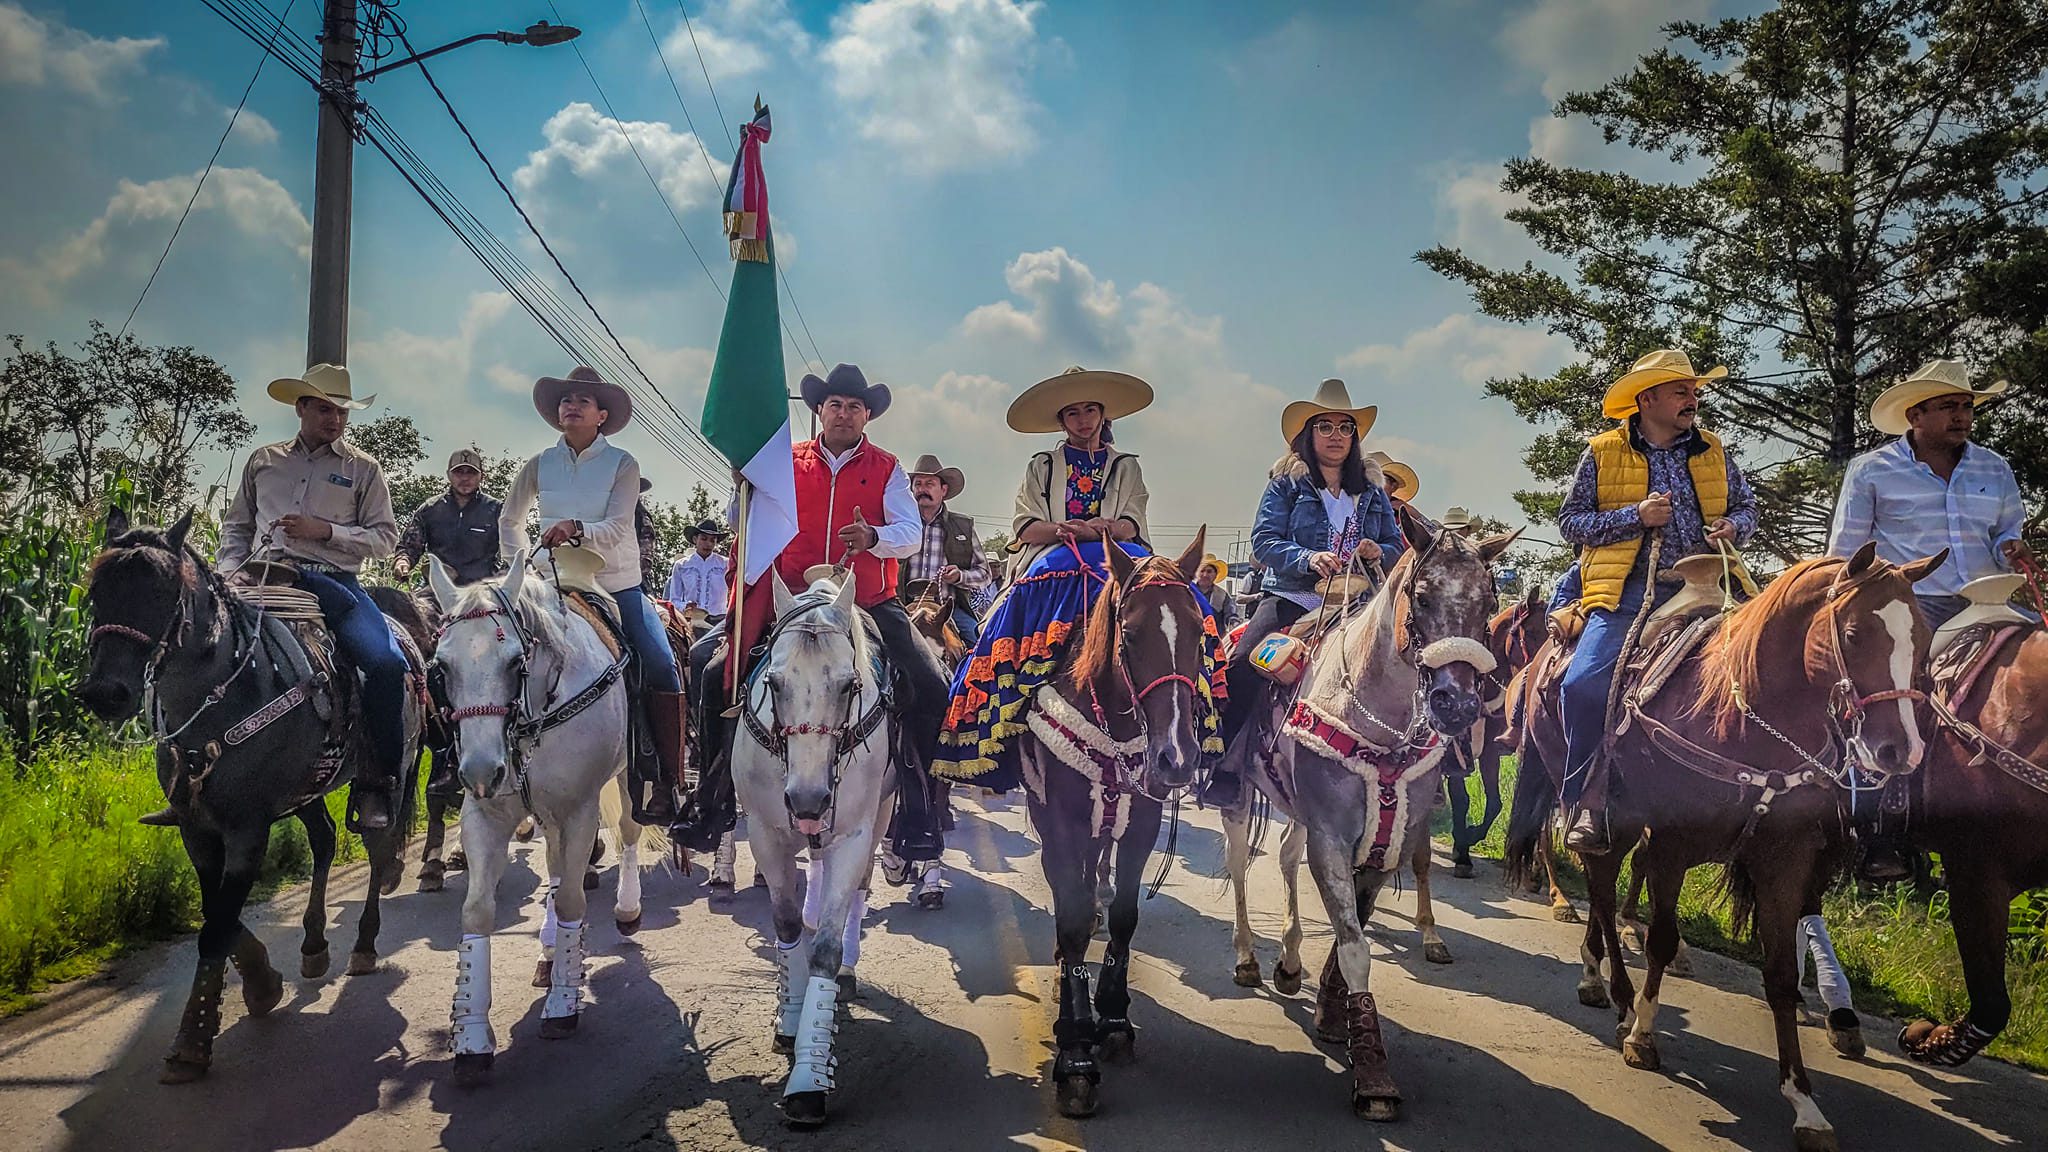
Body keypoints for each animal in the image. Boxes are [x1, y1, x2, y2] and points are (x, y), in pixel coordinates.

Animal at [428, 553, 659, 1082]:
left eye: (516, 661)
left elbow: (573, 899)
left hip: (624, 780)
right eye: (442, 667)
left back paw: (626, 910)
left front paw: (563, 1005)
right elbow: (477, 910)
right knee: (554, 867)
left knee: (626, 833)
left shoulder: (580, 810)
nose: (480, 771)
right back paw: (549, 953)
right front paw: (471, 1039)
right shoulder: (486, 814)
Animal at [737, 569, 897, 1123]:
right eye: (773, 682)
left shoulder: (853, 834)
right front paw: (790, 1016)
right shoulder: (765, 831)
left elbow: (826, 947)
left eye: (848, 684)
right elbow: (786, 925)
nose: (807, 799)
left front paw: (808, 1078)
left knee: (856, 893)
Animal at [1024, 528, 1212, 1115]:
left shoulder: (1141, 824)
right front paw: (1075, 1052)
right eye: (1129, 634)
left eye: (1200, 633)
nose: (1177, 758)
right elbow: (1072, 918)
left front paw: (1111, 1018)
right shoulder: (1060, 822)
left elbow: (1124, 916)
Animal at [1507, 541, 1933, 1147]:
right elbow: (1660, 940)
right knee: (1603, 890)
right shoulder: (1671, 845)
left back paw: (1597, 977)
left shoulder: (1784, 863)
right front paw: (1643, 1035)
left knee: (1602, 886)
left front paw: (1803, 1102)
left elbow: (1781, 977)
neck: (1740, 721)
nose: (1900, 750)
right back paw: (1615, 994)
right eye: (1853, 634)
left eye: (1922, 637)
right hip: (1601, 811)